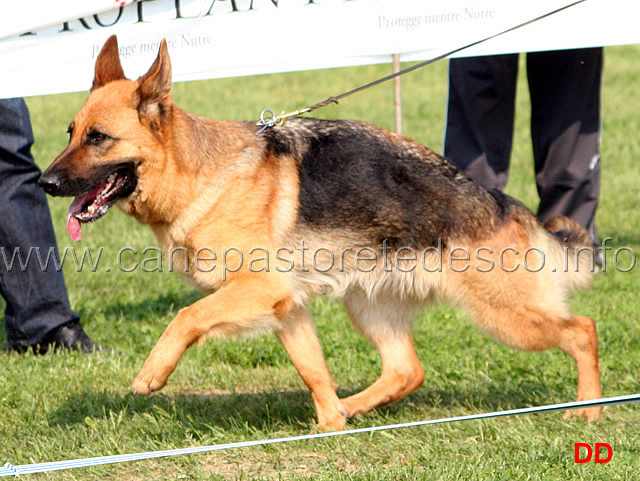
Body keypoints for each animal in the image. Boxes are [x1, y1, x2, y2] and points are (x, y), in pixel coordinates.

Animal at [38, 35, 600, 430]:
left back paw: (591, 410)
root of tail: (505, 204)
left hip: (505, 316)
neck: (197, 173)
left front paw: (151, 374)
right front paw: (330, 424)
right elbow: (313, 370)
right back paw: (351, 411)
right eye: (70, 133)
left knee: (582, 330)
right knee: (406, 371)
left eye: (99, 138)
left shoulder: (256, 289)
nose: (43, 182)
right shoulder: (286, 307)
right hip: (368, 305)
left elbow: (186, 316)